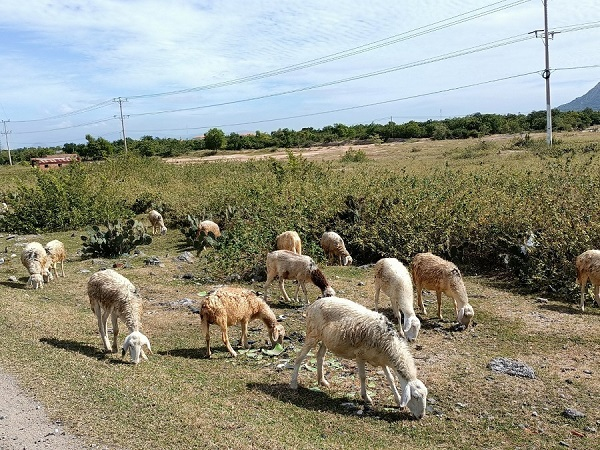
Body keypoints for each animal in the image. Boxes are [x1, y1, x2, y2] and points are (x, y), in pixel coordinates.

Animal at [290, 298, 426, 420]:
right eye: (415, 397)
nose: (420, 416)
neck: (390, 346)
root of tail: (314, 304)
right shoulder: (360, 356)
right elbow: (363, 377)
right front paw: (366, 397)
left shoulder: (381, 359)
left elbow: (391, 379)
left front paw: (398, 400)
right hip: (312, 333)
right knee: (299, 357)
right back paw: (293, 384)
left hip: (326, 339)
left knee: (320, 356)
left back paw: (322, 381)